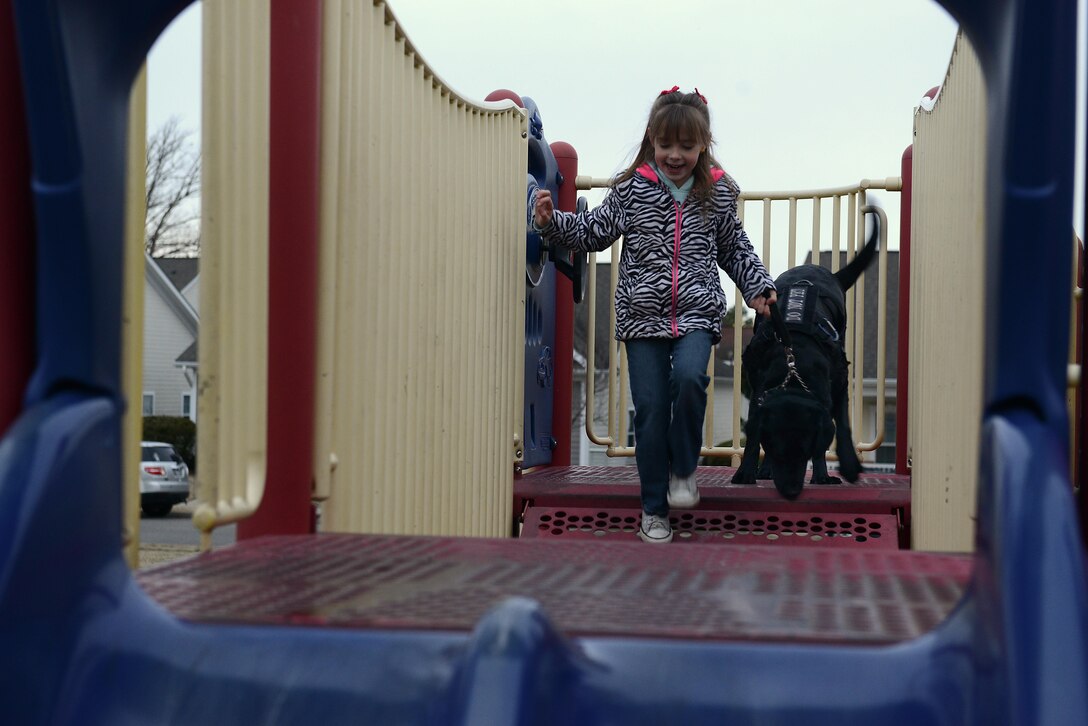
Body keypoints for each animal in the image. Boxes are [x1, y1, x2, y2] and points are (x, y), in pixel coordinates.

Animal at [726, 206, 879, 496]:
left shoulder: (839, 381)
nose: (790, 490)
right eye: (777, 448)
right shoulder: (758, 391)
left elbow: (841, 424)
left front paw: (842, 467)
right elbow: (753, 438)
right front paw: (746, 472)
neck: (795, 368)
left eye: (804, 450)